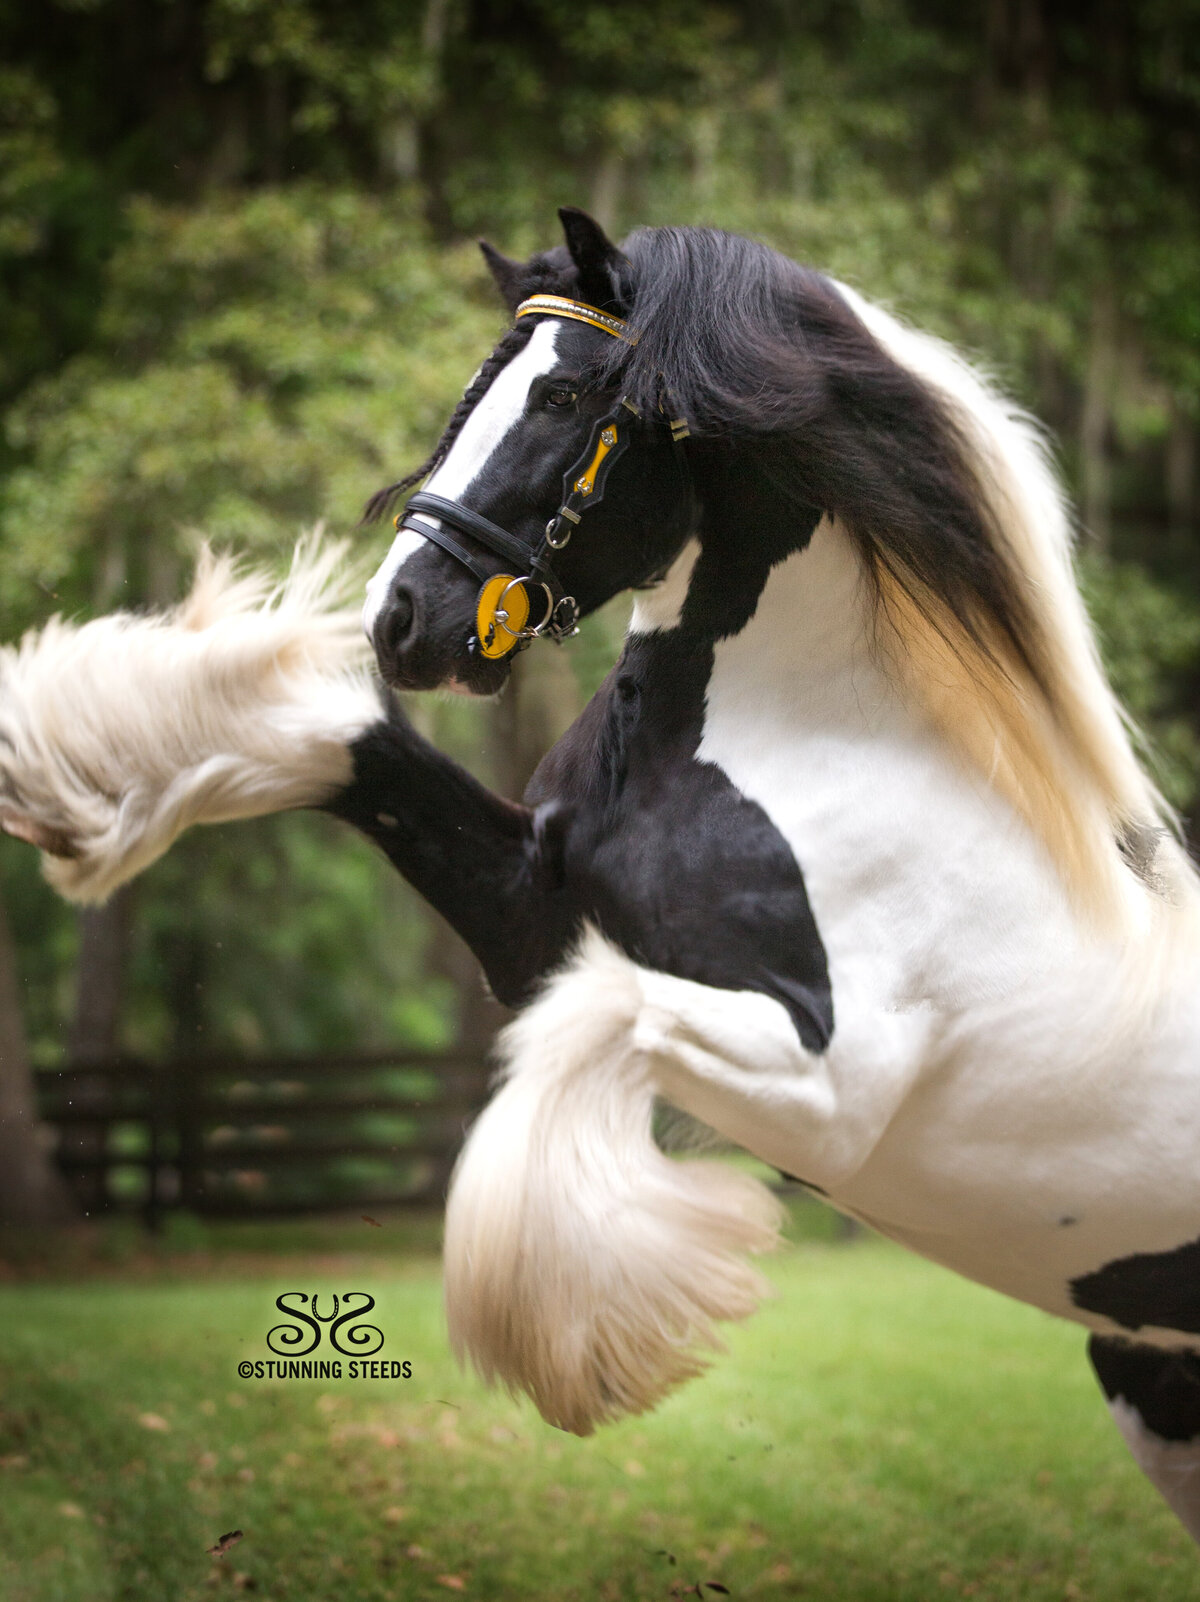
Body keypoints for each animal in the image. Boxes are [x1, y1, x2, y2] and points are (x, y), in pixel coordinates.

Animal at [2, 206, 1198, 1544]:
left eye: (567, 395)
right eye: (482, 381)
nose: (400, 620)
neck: (757, 748)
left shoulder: (829, 1081)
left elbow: (602, 1017)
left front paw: (579, 1333)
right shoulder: (530, 921)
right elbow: (336, 742)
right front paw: (68, 756)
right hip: (1156, 1380)